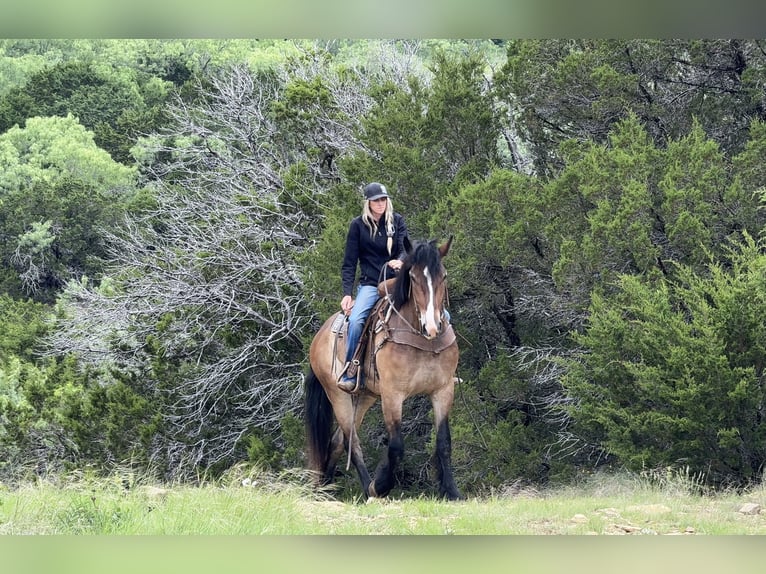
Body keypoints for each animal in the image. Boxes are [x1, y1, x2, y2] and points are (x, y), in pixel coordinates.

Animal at [304, 236, 461, 500]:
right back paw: (369, 488)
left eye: (444, 276)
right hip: (338, 396)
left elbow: (444, 443)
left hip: (364, 397)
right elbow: (396, 445)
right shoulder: (392, 395)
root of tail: (319, 336)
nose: (432, 326)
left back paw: (325, 488)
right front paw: (382, 484)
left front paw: (451, 492)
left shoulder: (443, 390)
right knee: (351, 442)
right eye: (413, 277)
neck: (422, 338)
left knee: (337, 442)